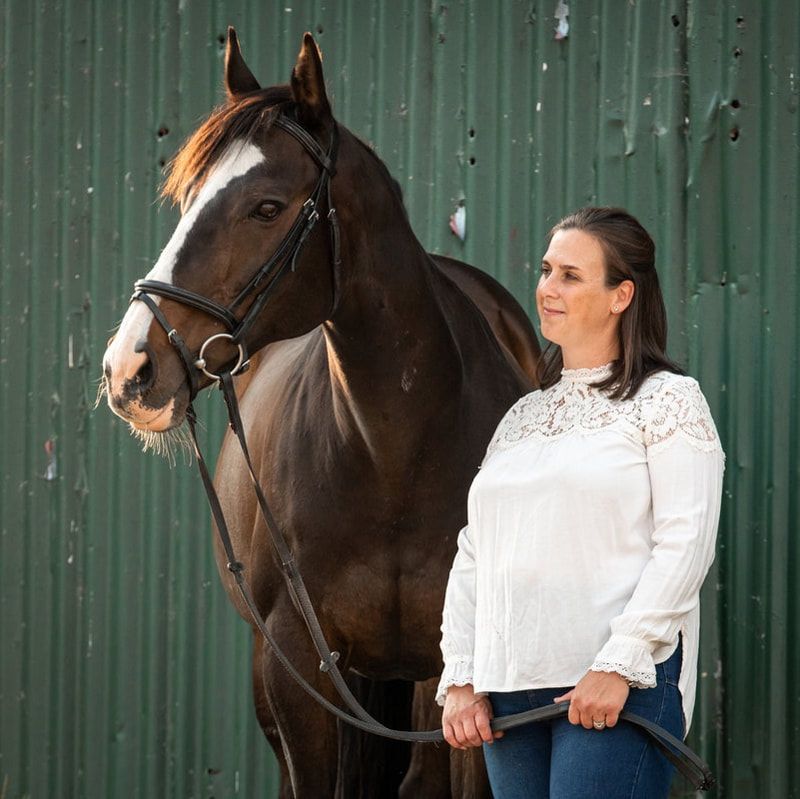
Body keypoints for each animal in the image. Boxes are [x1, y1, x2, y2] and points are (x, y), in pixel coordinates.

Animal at [102, 29, 541, 798]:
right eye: (186, 198)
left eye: (267, 207)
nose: (129, 370)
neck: (394, 450)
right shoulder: (296, 668)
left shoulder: (462, 671)